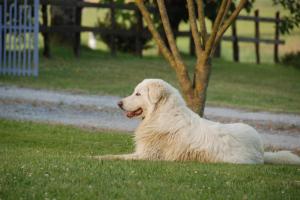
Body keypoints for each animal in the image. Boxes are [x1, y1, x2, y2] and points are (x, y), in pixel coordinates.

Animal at [96, 78, 300, 164]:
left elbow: (113, 156)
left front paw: (93, 157)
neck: (161, 114)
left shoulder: (147, 156)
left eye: (138, 94)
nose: (119, 103)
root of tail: (262, 150)